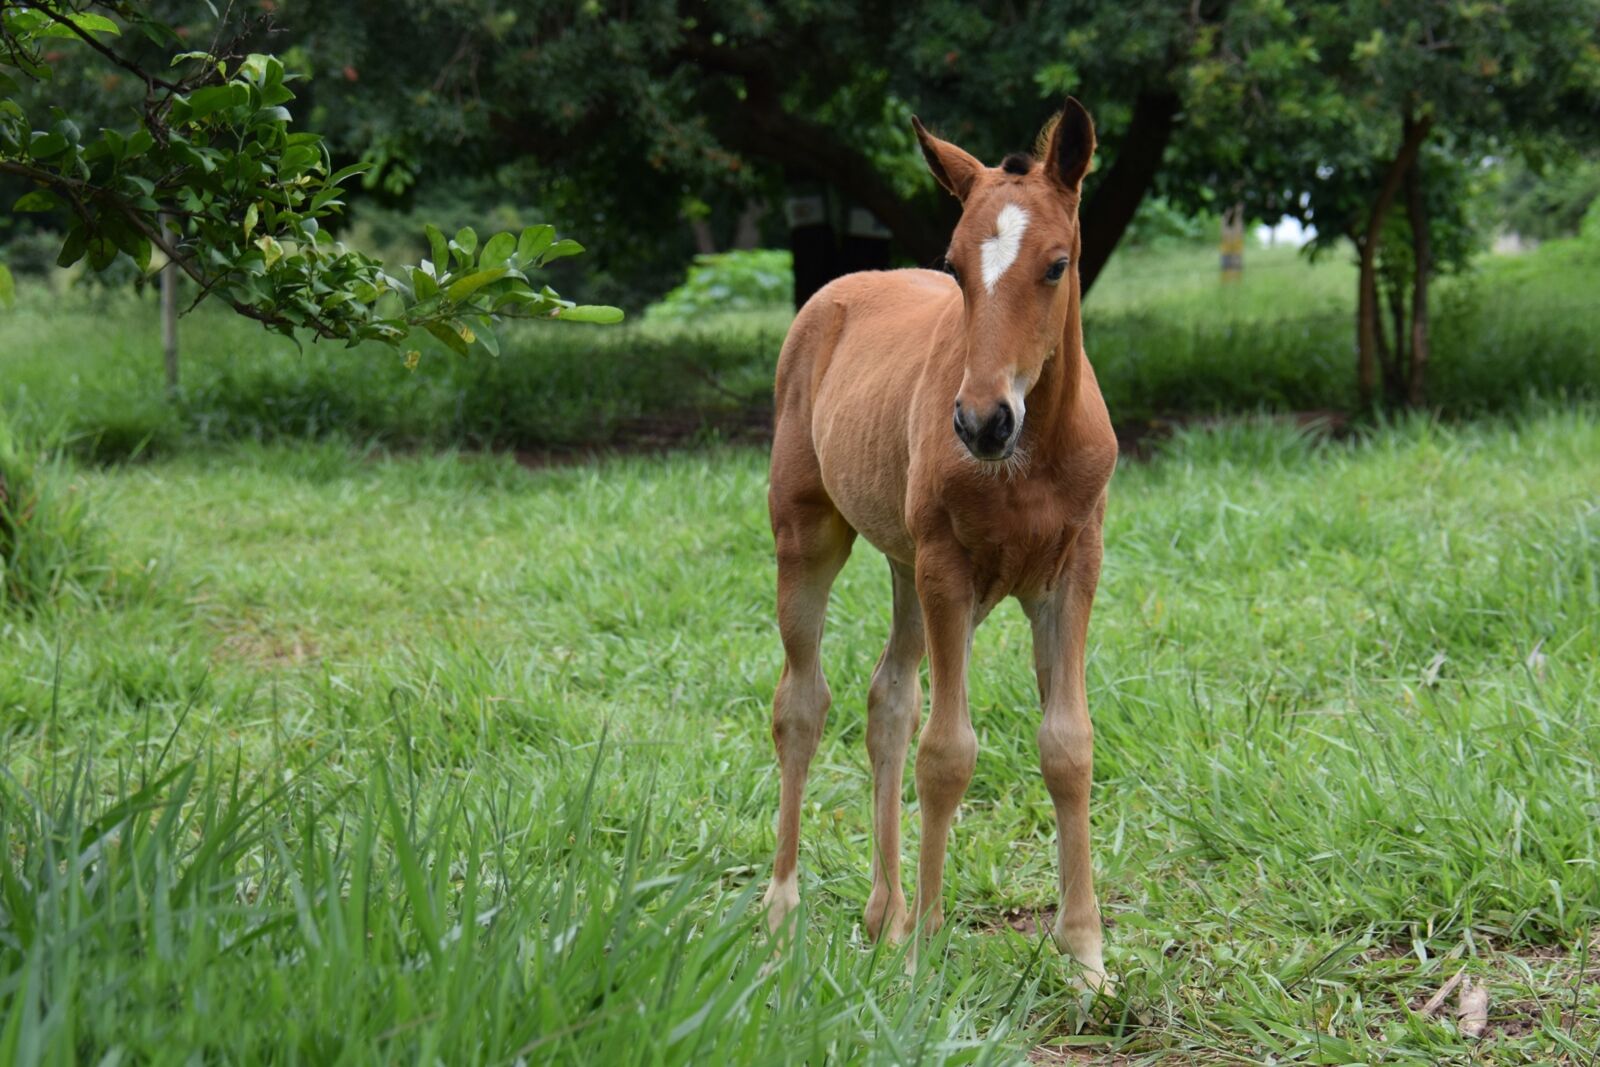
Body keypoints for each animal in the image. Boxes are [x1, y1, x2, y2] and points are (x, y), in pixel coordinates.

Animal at [760, 97, 1118, 989]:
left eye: (1058, 264)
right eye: (954, 266)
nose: (982, 421)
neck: (1033, 455)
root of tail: (841, 287)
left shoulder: (1073, 568)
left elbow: (1068, 744)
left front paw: (1086, 956)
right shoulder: (947, 568)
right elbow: (949, 753)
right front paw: (925, 952)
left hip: (903, 565)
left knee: (887, 697)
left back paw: (882, 914)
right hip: (811, 535)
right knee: (802, 702)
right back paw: (784, 910)